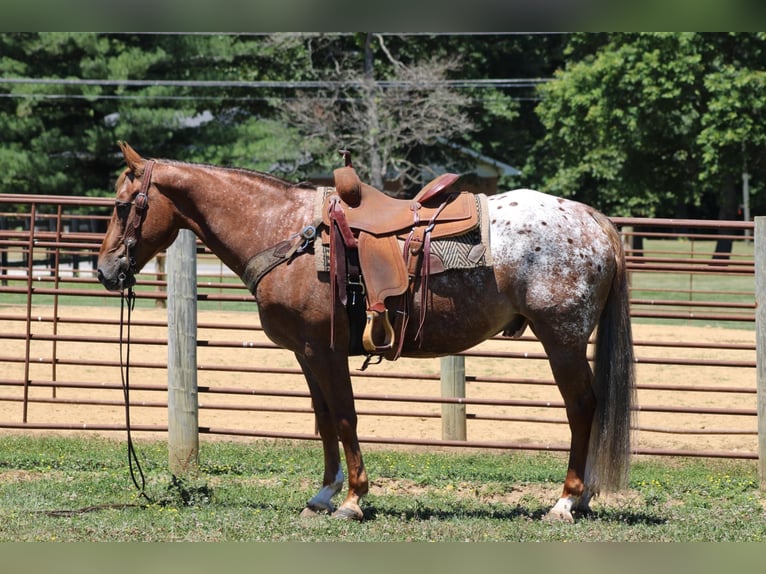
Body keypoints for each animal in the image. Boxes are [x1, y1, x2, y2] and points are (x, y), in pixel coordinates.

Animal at [97, 142, 636, 524]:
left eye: (123, 206)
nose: (105, 271)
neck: (286, 232)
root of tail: (595, 221)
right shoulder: (306, 352)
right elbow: (323, 419)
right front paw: (323, 493)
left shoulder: (326, 350)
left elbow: (345, 418)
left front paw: (353, 499)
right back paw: (581, 500)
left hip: (562, 341)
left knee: (581, 408)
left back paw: (566, 502)